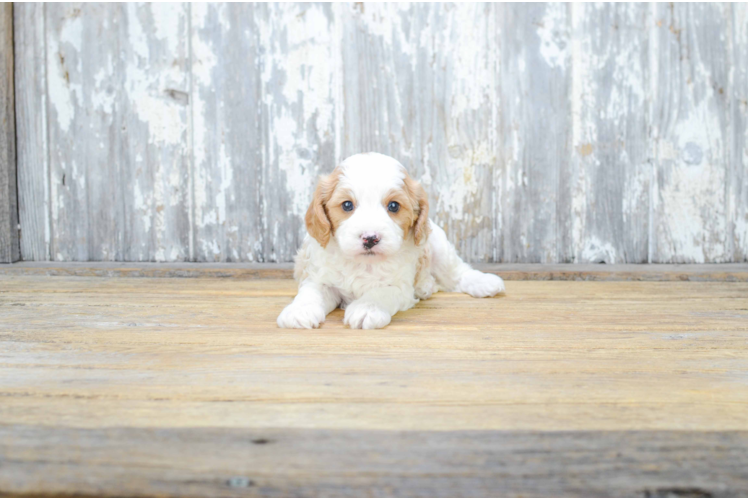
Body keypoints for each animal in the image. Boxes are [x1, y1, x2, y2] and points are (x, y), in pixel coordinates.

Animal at [278, 154, 506, 330]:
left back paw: (483, 282)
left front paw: (366, 308)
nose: (370, 238)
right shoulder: (319, 277)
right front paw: (299, 311)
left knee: (457, 273)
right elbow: (311, 292)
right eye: (347, 205)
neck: (364, 263)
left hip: (438, 246)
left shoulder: (399, 286)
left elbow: (380, 292)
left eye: (394, 206)